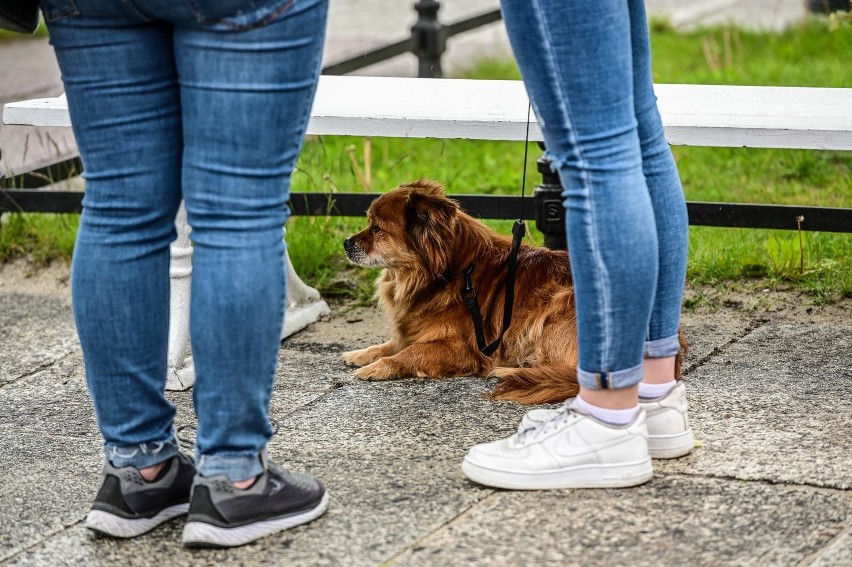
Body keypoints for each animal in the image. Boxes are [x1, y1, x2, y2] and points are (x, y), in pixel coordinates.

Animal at [342, 180, 684, 406]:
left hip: (557, 305)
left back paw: (510, 369)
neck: (451, 272)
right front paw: (363, 353)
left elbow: (410, 353)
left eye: (377, 229)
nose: (345, 241)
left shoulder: (464, 348)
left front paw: (379, 367)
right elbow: (396, 343)